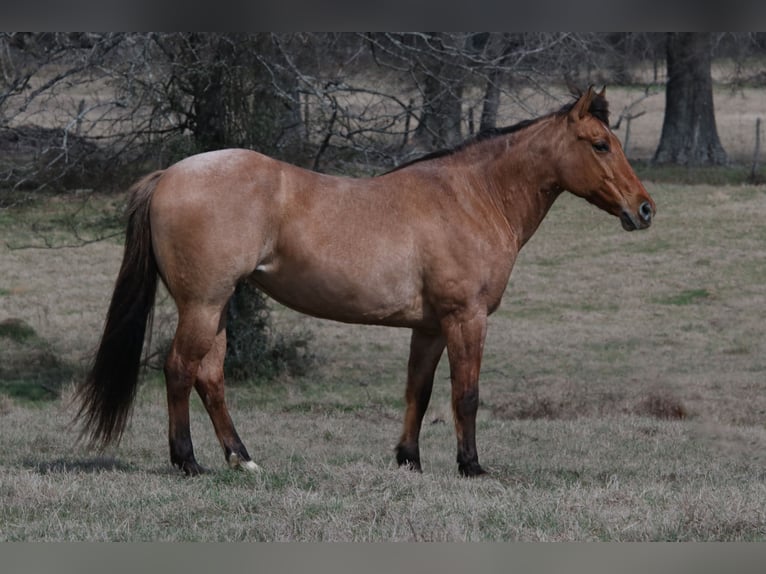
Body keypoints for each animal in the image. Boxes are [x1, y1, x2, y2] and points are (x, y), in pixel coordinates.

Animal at [76, 88, 656, 480]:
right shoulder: (465, 318)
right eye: (600, 145)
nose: (645, 209)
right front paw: (471, 466)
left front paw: (409, 460)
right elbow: (465, 394)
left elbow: (419, 391)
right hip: (202, 303)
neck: (473, 196)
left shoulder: (430, 326)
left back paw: (243, 459)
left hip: (214, 307)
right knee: (179, 371)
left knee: (209, 377)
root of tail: (169, 175)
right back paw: (188, 461)